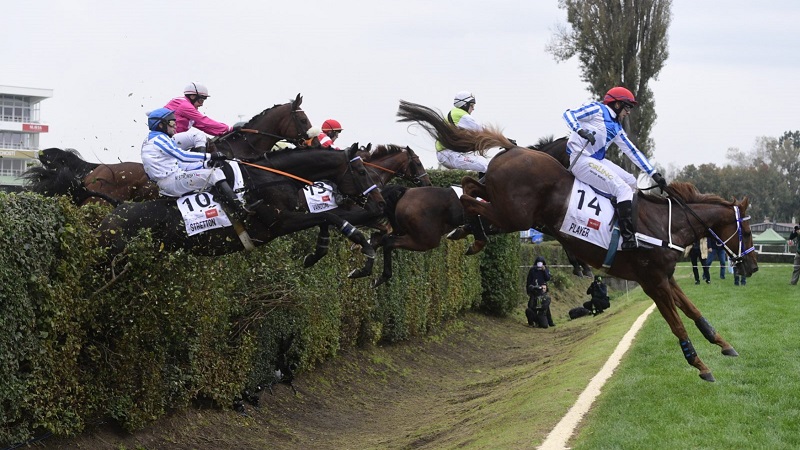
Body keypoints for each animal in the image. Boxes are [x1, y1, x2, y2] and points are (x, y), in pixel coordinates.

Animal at [98, 145, 386, 278]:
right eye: (362, 172)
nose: (381, 203)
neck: (269, 180)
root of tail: (114, 213)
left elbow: (328, 217)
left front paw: (318, 252)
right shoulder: (280, 222)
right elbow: (330, 216)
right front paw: (364, 257)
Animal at [396, 100, 760, 382]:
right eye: (747, 232)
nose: (754, 266)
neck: (664, 224)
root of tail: (514, 149)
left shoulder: (665, 278)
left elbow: (694, 312)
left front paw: (723, 344)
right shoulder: (652, 281)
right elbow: (677, 325)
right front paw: (700, 365)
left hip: (507, 208)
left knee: (473, 187)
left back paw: (470, 231)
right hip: (514, 215)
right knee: (469, 194)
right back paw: (471, 232)